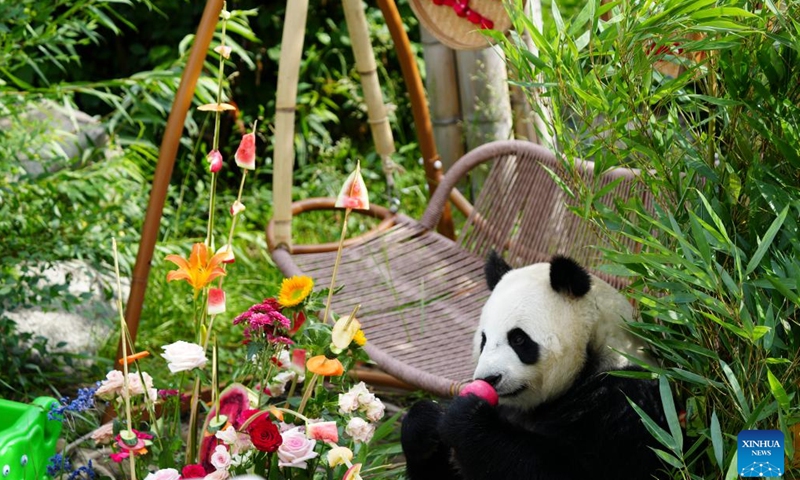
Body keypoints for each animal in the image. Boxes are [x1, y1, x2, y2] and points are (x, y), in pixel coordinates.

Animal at [400, 253, 668, 478]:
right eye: (483, 340)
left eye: (518, 339)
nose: (489, 379)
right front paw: (425, 422)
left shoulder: (624, 401)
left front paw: (466, 416)